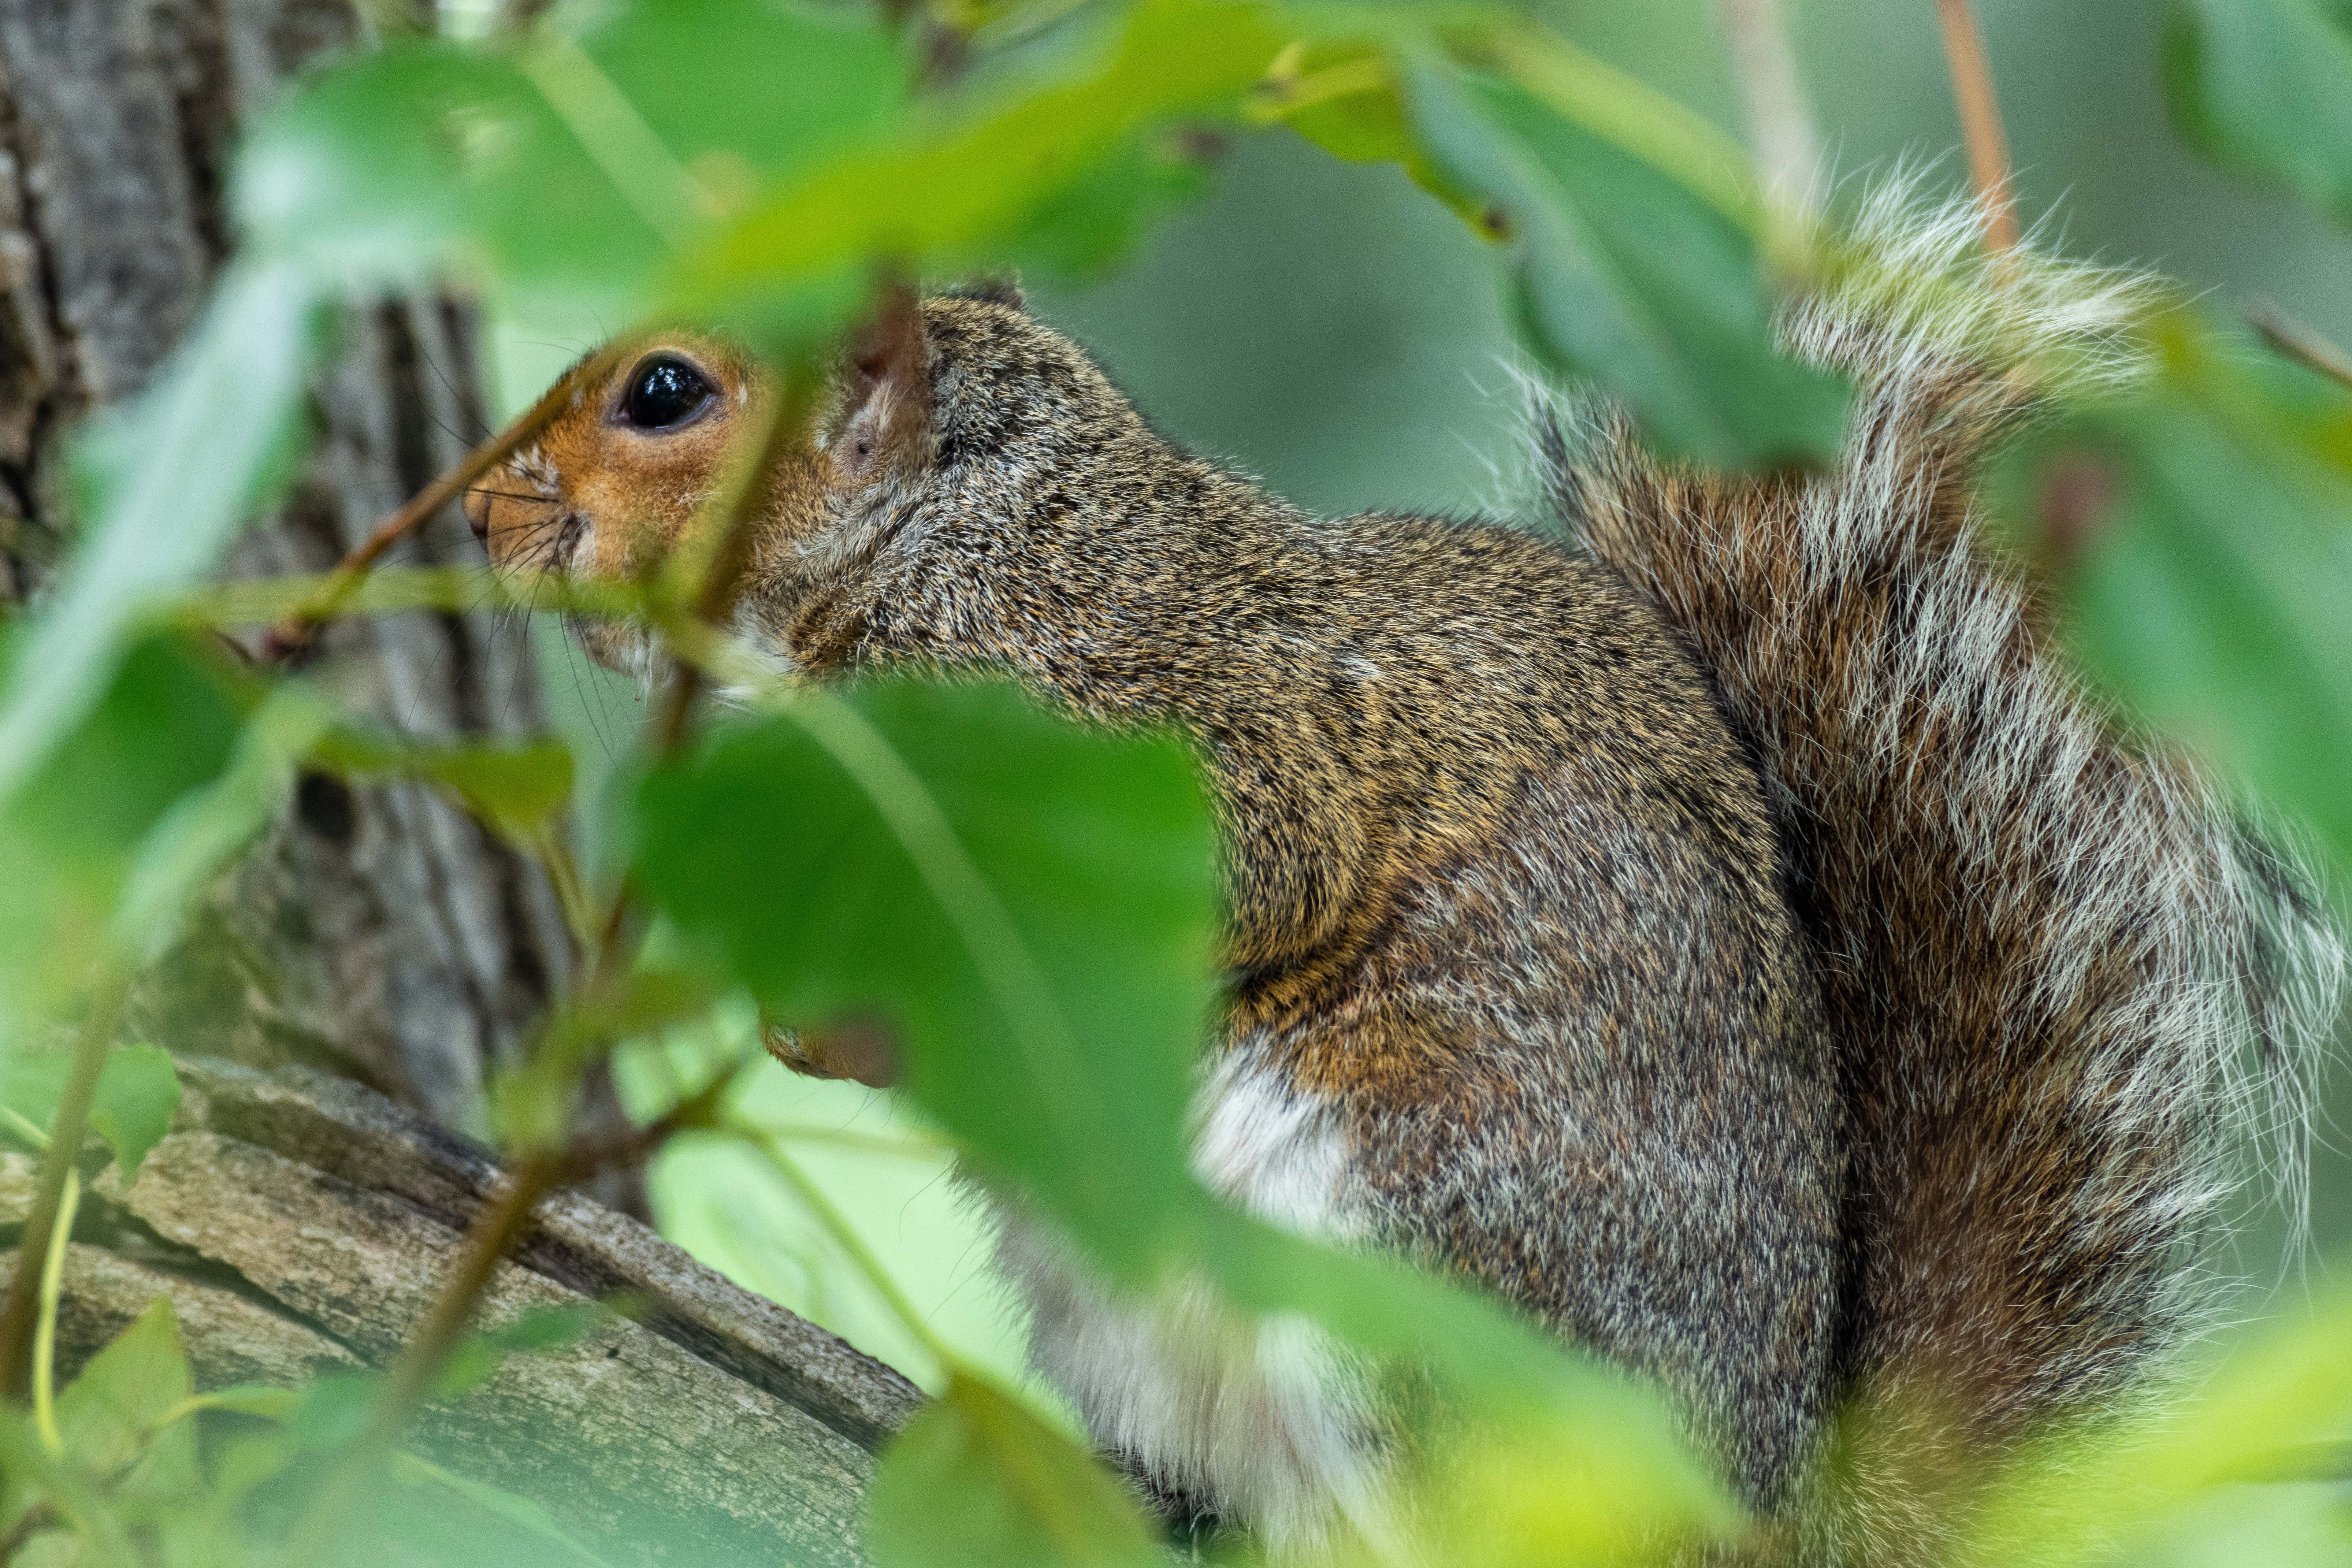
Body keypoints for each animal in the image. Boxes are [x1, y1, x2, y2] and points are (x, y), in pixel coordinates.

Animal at [468, 200, 2342, 1568]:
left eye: (662, 393)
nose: (476, 517)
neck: (931, 529)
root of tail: (1742, 1520)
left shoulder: (1163, 725)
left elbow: (1235, 890)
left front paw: (833, 1025)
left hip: (1398, 1259)